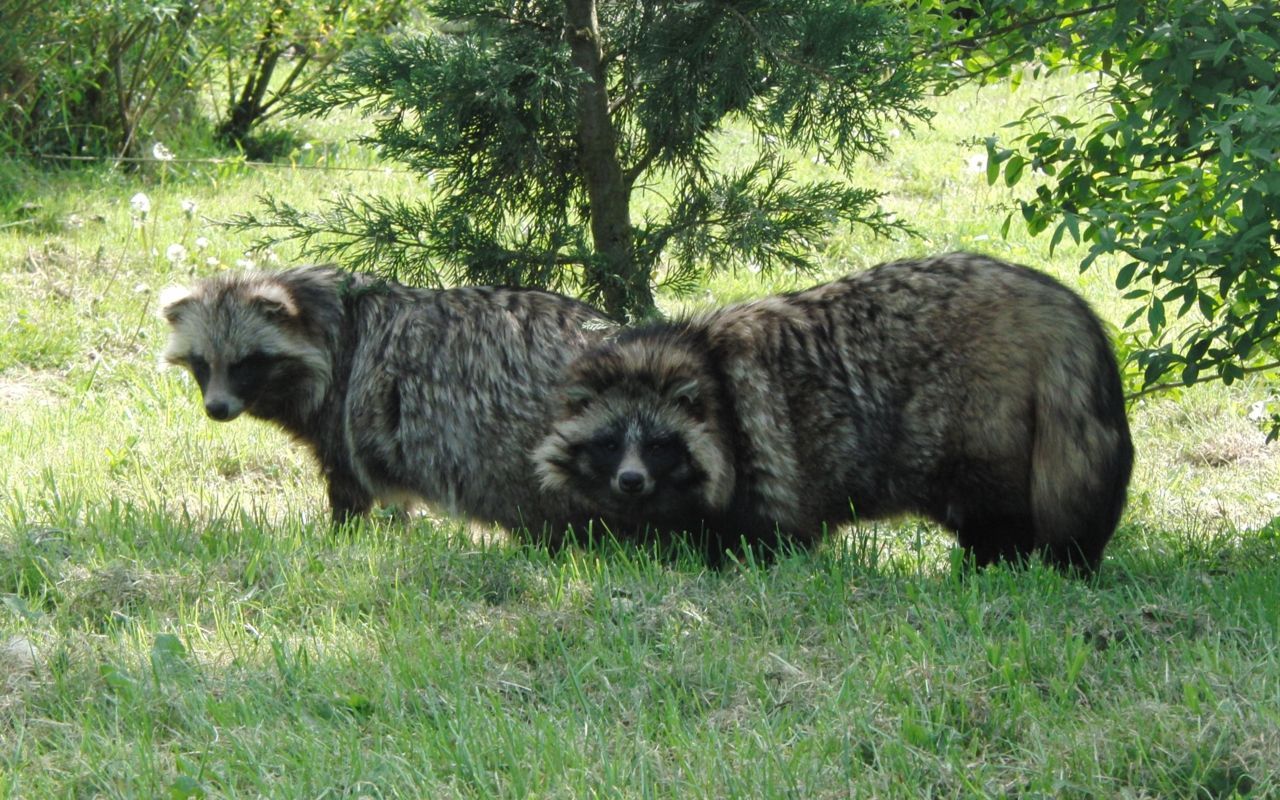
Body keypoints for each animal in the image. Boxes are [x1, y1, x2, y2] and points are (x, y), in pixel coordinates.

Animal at [157, 264, 616, 540]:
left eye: (245, 363)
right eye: (202, 363)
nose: (216, 409)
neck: (331, 323)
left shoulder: (344, 405)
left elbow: (350, 481)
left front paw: (341, 534)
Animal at [535, 252, 1136, 570]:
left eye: (660, 445)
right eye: (610, 443)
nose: (631, 481)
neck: (701, 360)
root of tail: (1056, 301)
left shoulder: (759, 456)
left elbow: (761, 537)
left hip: (985, 419)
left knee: (997, 508)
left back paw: (989, 564)